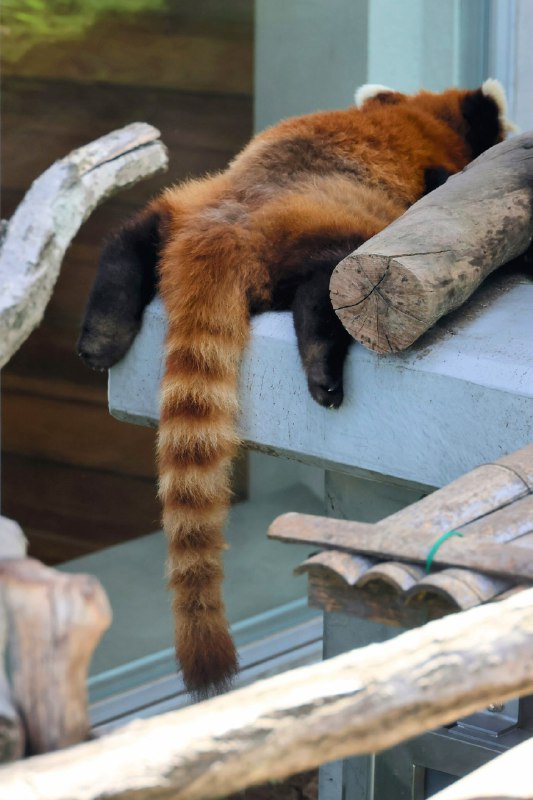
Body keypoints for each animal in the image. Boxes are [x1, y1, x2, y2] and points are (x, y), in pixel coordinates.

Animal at [77, 78, 512, 696]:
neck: (422, 114)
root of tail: (225, 228)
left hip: (192, 199)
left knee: (133, 235)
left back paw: (103, 331)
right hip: (333, 225)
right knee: (324, 286)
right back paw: (324, 371)